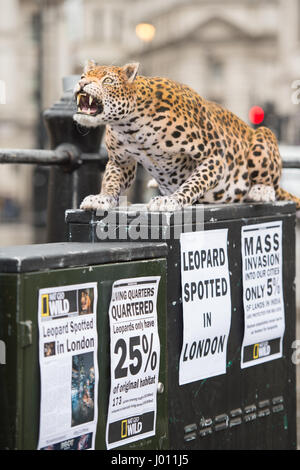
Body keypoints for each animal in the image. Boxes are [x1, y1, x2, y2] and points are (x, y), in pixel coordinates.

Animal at [73, 61, 300, 212]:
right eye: (84, 76)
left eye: (108, 80)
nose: (82, 83)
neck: (131, 126)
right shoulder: (121, 161)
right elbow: (111, 181)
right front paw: (101, 199)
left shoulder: (213, 156)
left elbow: (194, 183)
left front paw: (172, 200)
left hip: (263, 135)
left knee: (271, 180)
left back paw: (262, 190)